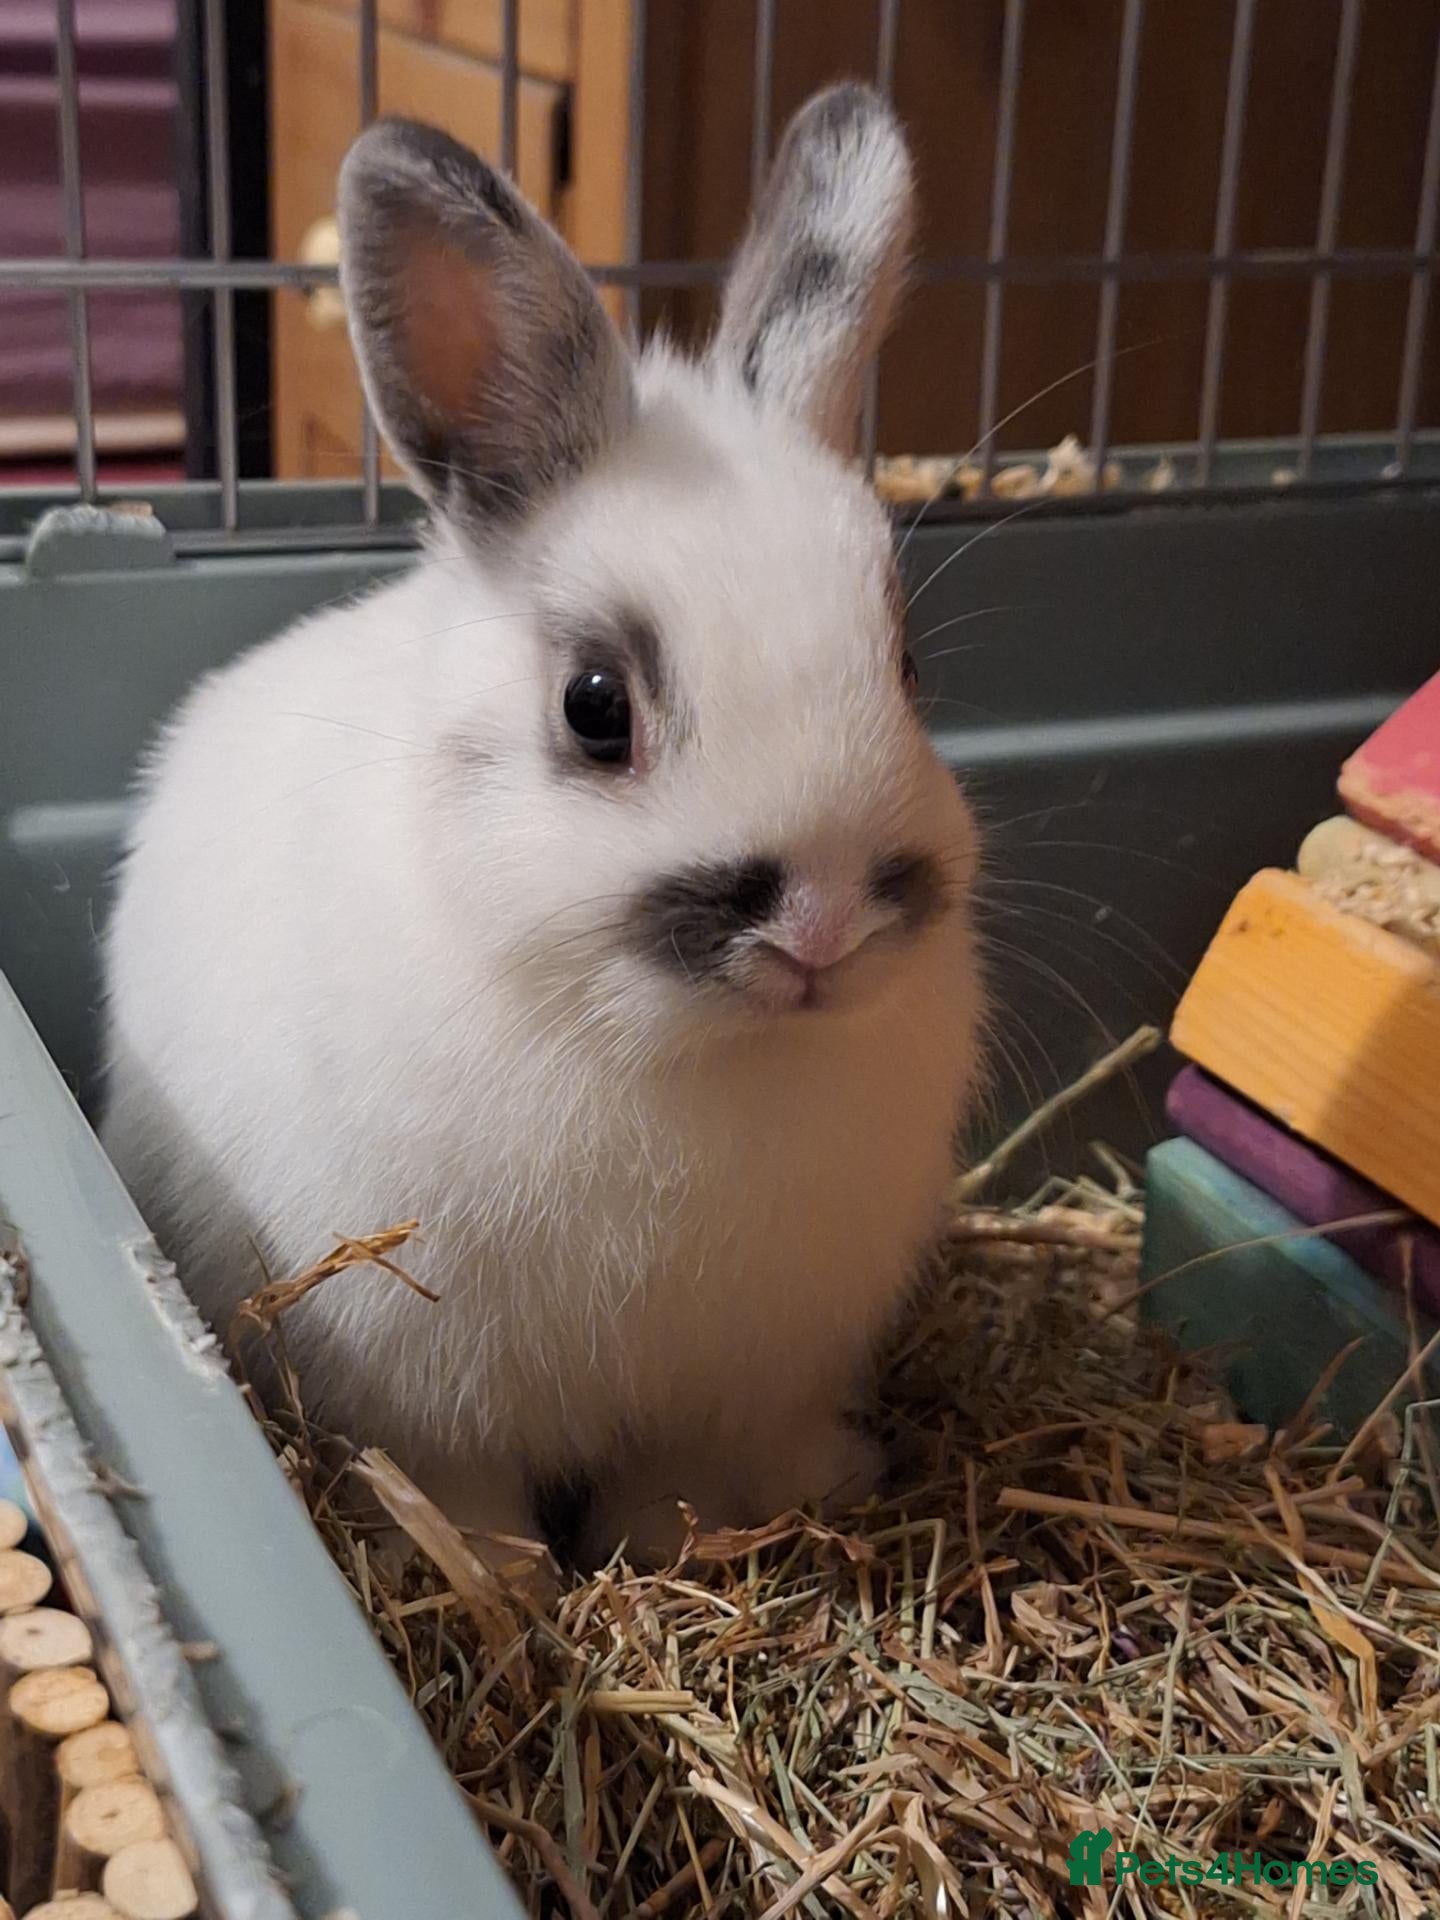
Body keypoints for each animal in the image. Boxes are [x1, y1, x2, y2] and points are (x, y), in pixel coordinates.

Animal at [99, 82, 984, 1573]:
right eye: (594, 708)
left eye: (911, 665)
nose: (820, 924)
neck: (688, 1056)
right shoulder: (429, 1393)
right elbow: (476, 1503)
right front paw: (506, 1588)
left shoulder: (714, 1394)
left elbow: (671, 1491)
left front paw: (671, 1553)